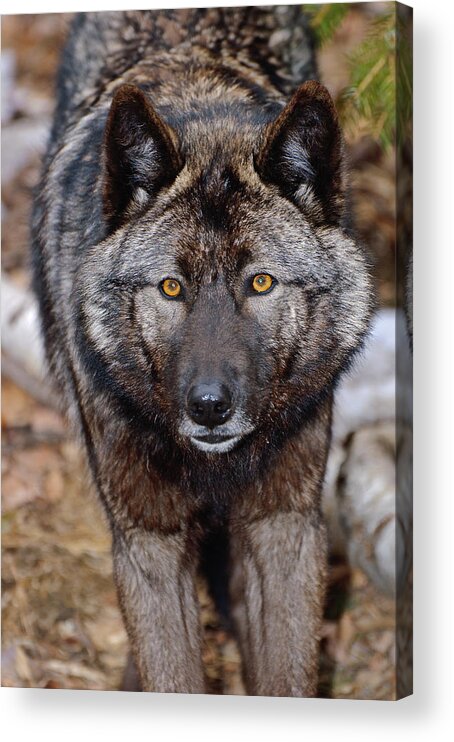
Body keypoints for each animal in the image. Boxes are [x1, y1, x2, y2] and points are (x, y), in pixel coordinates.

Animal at [31, 7, 372, 696]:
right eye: (171, 287)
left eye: (261, 283)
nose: (209, 406)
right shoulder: (150, 537)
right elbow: (170, 670)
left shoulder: (284, 526)